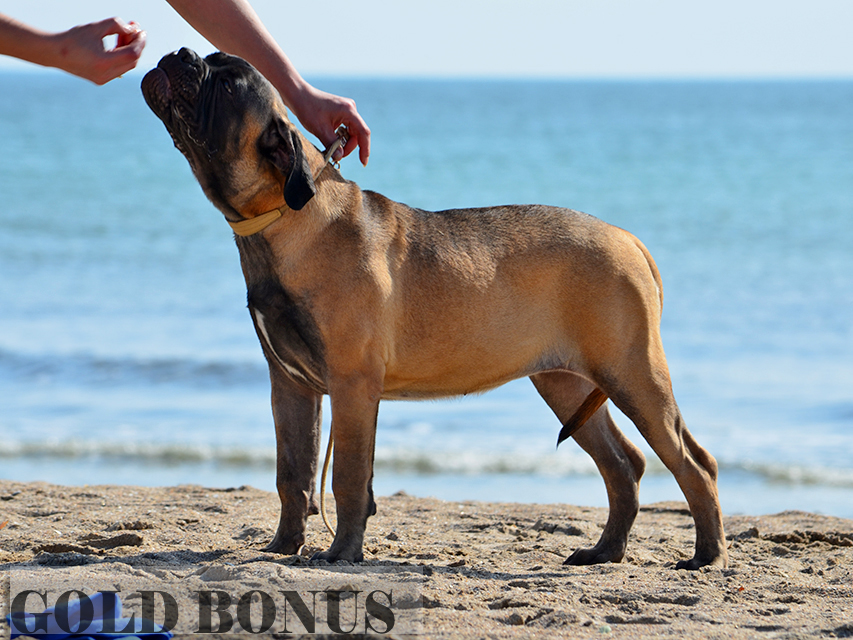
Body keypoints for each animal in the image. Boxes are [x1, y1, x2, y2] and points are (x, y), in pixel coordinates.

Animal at [143, 50, 728, 568]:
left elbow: (348, 476)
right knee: (623, 465)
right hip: (568, 383)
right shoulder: (290, 385)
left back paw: (707, 555)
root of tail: (628, 238)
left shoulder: (352, 384)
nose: (179, 52)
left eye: (227, 83)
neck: (283, 216)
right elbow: (294, 473)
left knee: (693, 462)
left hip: (634, 372)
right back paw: (605, 552)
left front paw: (340, 554)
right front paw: (283, 548)